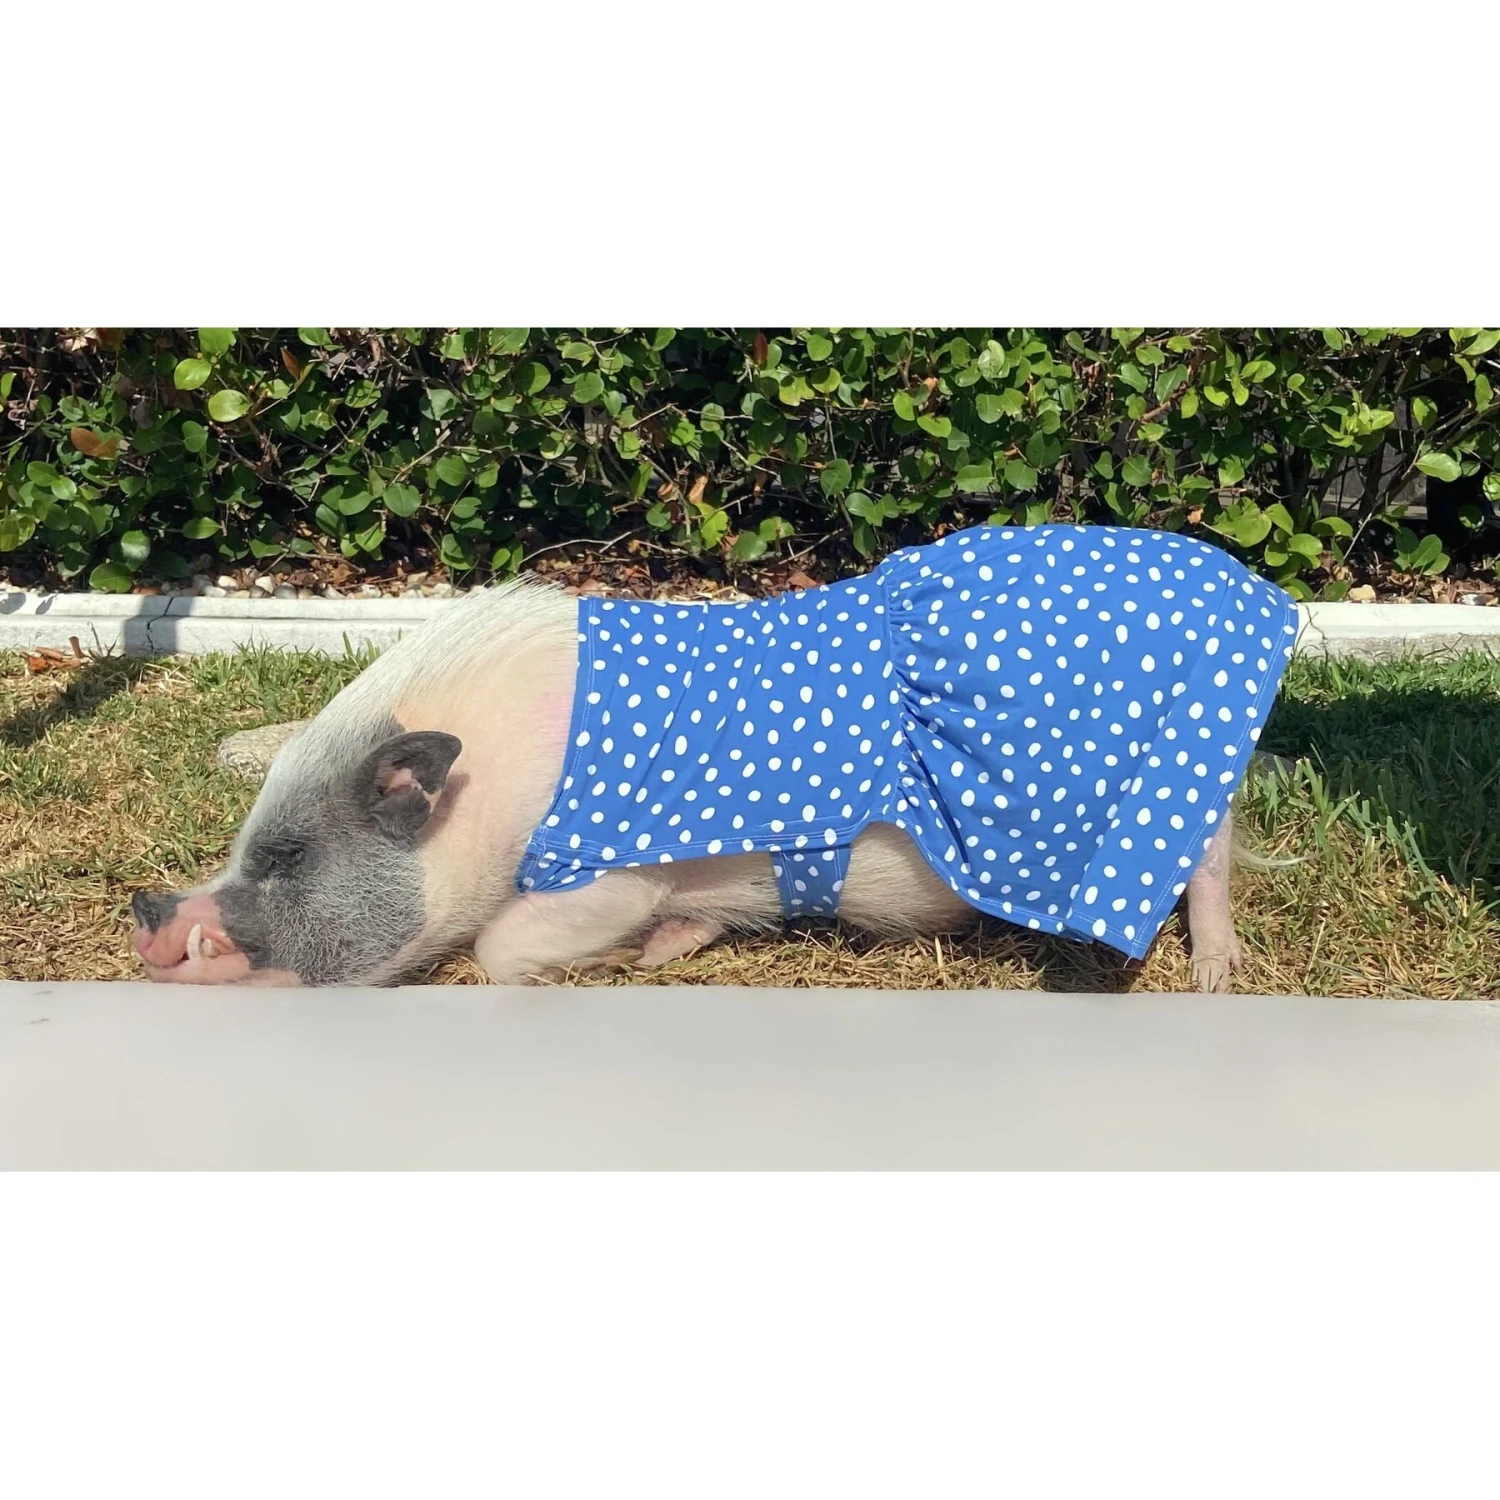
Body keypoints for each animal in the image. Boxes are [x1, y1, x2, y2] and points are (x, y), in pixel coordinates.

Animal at [132, 523, 1301, 990]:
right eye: (246, 846)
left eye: (285, 857)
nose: (150, 910)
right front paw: (666, 953)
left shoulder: (612, 867)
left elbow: (508, 946)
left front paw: (620, 960)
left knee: (1206, 854)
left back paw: (1212, 975)